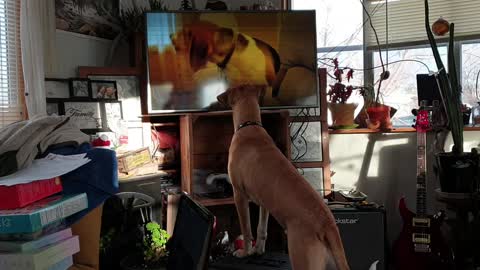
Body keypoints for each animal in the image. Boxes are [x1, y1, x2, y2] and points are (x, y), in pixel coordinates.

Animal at [217, 85, 348, 270]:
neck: (250, 126)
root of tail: (327, 224)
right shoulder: (264, 202)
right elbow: (261, 229)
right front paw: (258, 250)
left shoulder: (239, 195)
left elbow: (247, 229)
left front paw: (245, 252)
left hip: (302, 258)